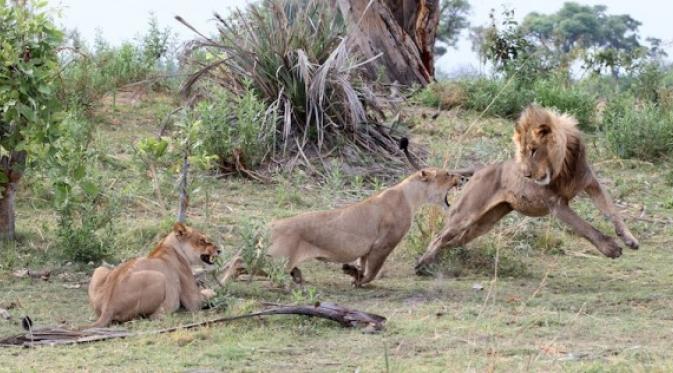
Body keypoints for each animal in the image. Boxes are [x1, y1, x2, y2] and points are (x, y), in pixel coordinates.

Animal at [86, 222, 218, 326]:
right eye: (202, 240)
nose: (219, 250)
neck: (167, 244)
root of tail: (108, 307)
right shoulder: (193, 300)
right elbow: (208, 294)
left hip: (100, 269)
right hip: (160, 277)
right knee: (152, 316)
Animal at [268, 167, 468, 286]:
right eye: (448, 174)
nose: (463, 177)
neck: (410, 196)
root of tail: (273, 224)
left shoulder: (367, 249)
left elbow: (363, 264)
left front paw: (353, 274)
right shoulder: (384, 244)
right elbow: (373, 270)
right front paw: (359, 279)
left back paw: (297, 275)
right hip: (280, 259)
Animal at [414, 104, 640, 274]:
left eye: (533, 150)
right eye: (521, 152)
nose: (526, 175)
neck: (564, 165)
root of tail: (481, 168)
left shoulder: (591, 183)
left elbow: (612, 210)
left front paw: (630, 239)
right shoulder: (557, 204)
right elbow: (584, 227)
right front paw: (610, 248)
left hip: (485, 223)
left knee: (454, 240)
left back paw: (430, 261)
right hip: (466, 213)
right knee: (440, 236)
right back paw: (421, 264)